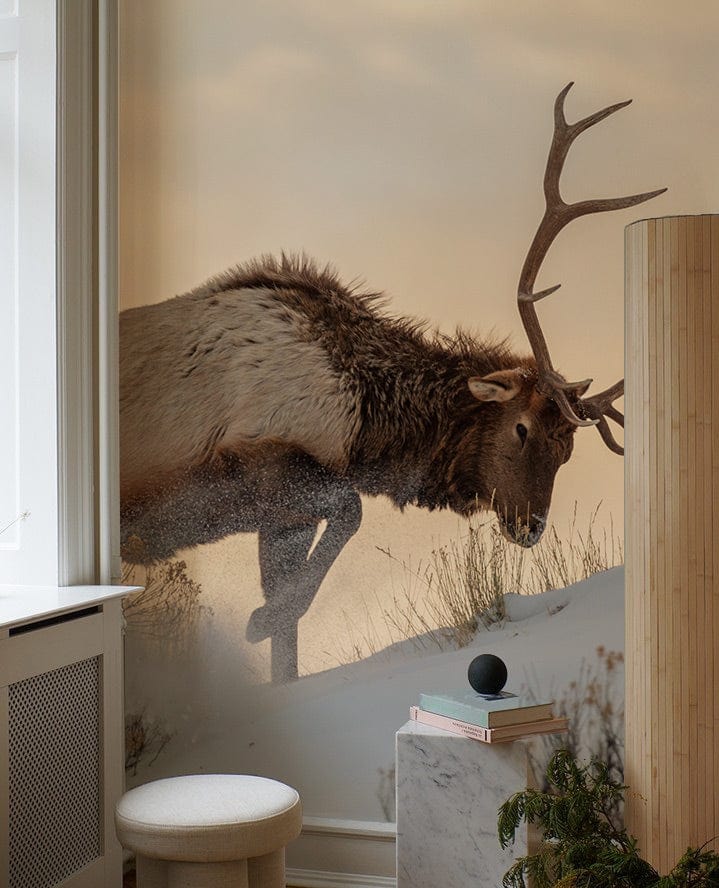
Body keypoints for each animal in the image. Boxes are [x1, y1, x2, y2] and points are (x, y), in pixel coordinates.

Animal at [119, 83, 665, 681]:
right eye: (521, 428)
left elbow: (290, 637)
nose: (530, 527)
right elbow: (348, 516)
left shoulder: (286, 514)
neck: (365, 421)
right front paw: (259, 620)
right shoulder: (262, 458)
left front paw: (274, 636)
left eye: (567, 450)